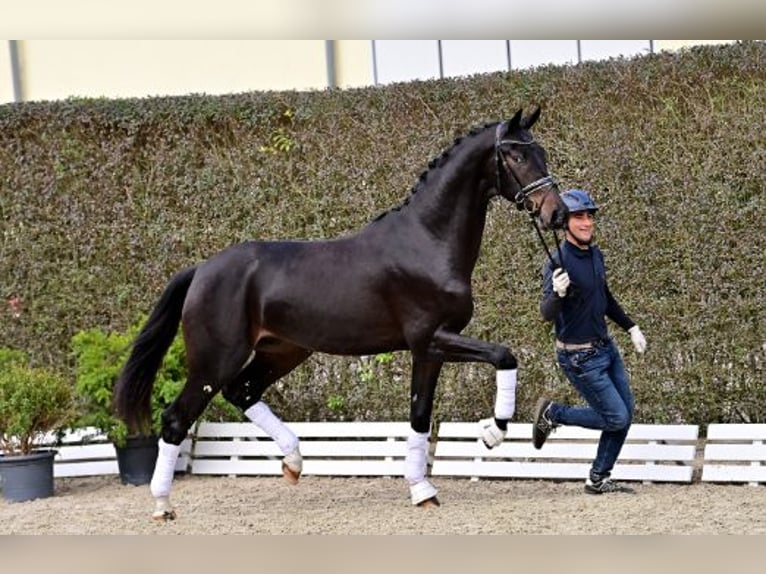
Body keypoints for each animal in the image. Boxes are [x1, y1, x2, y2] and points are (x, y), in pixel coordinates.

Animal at [114, 108, 568, 520]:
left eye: (541, 152)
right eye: (515, 155)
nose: (557, 214)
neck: (427, 241)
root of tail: (202, 269)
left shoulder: (429, 351)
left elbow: (420, 415)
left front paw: (422, 490)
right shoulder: (432, 338)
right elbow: (504, 355)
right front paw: (492, 433)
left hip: (282, 351)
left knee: (242, 392)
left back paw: (293, 462)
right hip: (215, 361)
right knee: (176, 419)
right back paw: (162, 505)